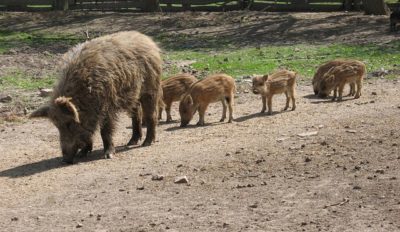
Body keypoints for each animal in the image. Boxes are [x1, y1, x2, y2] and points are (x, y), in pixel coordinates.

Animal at [29, 31, 162, 164]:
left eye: (69, 123)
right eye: (57, 126)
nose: (65, 160)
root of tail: (148, 40)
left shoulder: (108, 105)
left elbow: (105, 131)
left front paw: (108, 155)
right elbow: (90, 132)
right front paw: (82, 154)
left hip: (151, 87)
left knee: (151, 114)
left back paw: (146, 143)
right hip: (133, 96)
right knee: (136, 114)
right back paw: (131, 142)